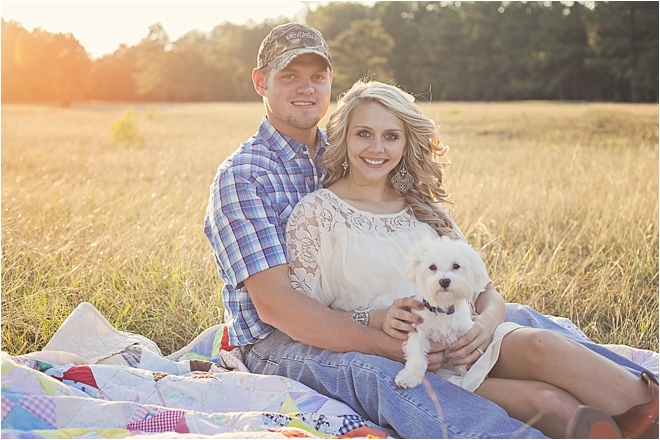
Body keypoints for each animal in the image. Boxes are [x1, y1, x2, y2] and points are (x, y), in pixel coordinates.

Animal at [392, 235, 490, 390]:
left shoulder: (464, 336)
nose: (444, 281)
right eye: (432, 267)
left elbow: (463, 359)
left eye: (456, 266)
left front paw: (467, 375)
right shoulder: (418, 331)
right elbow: (417, 357)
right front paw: (409, 376)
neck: (443, 309)